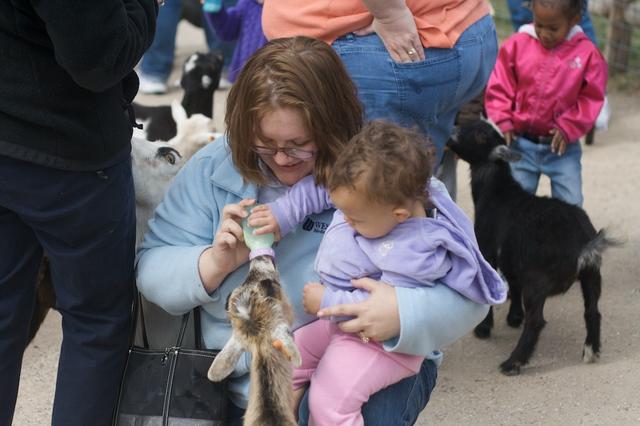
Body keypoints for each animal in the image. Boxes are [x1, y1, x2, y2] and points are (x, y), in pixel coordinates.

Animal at [448, 120, 616, 376]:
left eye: (478, 135)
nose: (450, 135)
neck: (497, 192)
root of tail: (583, 244)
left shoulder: (488, 252)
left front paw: (484, 328)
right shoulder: (511, 257)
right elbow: (513, 283)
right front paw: (514, 317)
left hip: (537, 280)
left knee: (536, 321)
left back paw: (513, 362)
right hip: (591, 274)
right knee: (592, 311)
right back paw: (591, 351)